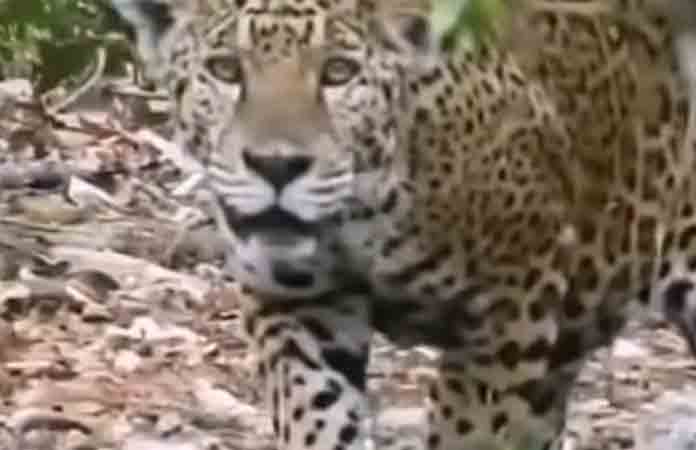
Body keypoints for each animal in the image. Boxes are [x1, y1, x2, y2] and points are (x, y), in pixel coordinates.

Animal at [111, 0, 696, 449]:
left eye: (339, 72)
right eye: (226, 69)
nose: (276, 166)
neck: (362, 215)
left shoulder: (509, 307)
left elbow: (473, 428)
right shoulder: (293, 302)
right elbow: (314, 410)